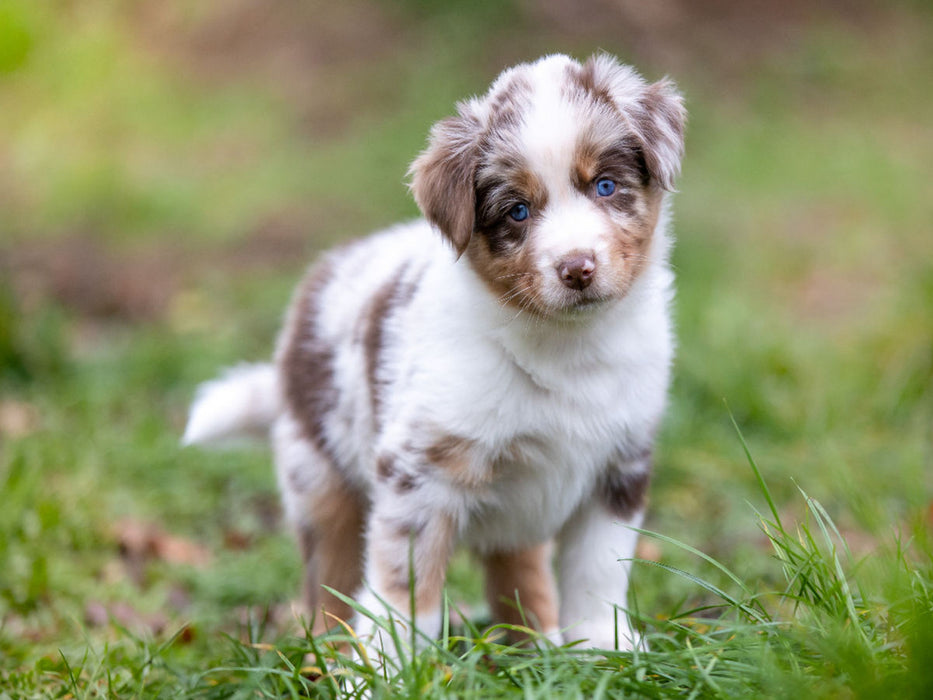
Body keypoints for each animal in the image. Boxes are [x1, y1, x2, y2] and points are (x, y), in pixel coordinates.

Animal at [186, 52, 688, 652]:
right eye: (517, 211)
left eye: (606, 186)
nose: (577, 268)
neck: (566, 345)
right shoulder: (421, 471)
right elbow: (404, 582)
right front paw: (387, 663)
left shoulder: (619, 466)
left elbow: (598, 569)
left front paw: (601, 647)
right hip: (319, 479)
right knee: (328, 583)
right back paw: (329, 653)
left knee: (517, 570)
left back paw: (538, 646)